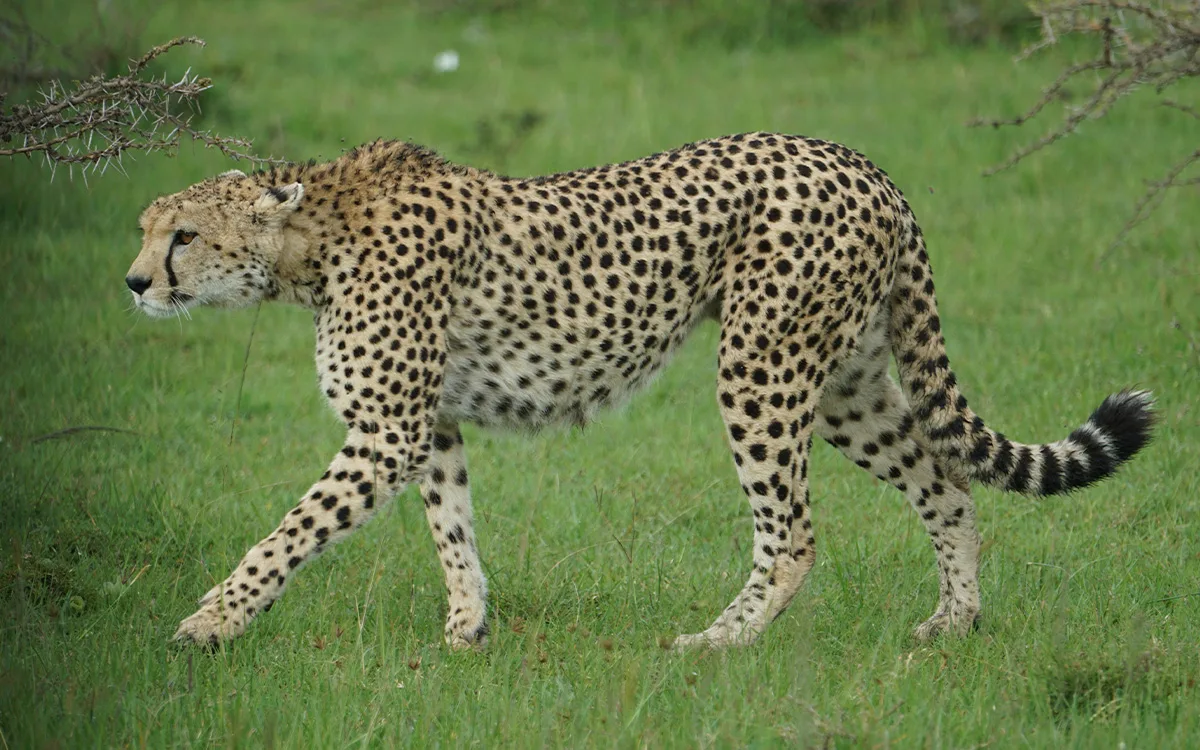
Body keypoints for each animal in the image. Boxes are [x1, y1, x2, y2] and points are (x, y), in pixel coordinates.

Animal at [126, 132, 1155, 650]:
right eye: (145, 228)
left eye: (183, 235)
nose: (134, 283)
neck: (309, 243)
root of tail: (860, 161)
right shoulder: (432, 426)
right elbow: (451, 529)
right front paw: (468, 627)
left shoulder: (386, 429)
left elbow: (285, 533)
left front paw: (209, 623)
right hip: (846, 383)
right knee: (946, 480)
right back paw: (954, 620)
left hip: (761, 365)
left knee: (792, 533)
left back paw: (720, 641)